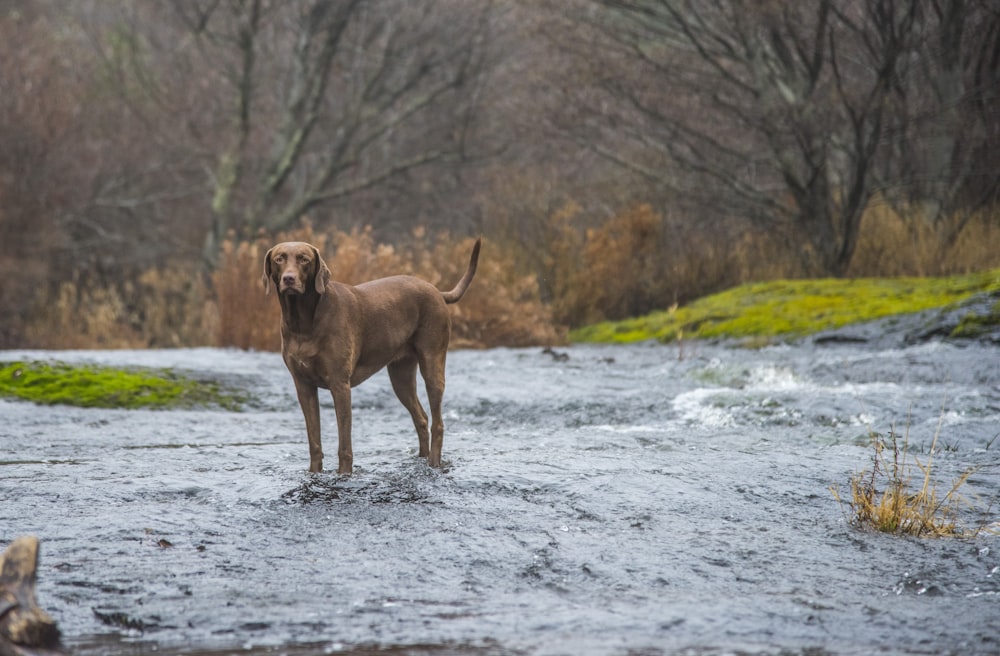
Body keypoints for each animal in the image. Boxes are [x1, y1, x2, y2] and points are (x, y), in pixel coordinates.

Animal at [262, 238, 480, 474]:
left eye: (304, 259)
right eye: (279, 259)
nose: (289, 279)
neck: (302, 323)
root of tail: (437, 291)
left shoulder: (340, 385)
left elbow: (344, 444)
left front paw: (344, 475)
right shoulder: (303, 386)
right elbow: (314, 442)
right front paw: (315, 473)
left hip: (432, 364)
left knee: (437, 422)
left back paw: (433, 463)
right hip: (401, 376)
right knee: (421, 418)